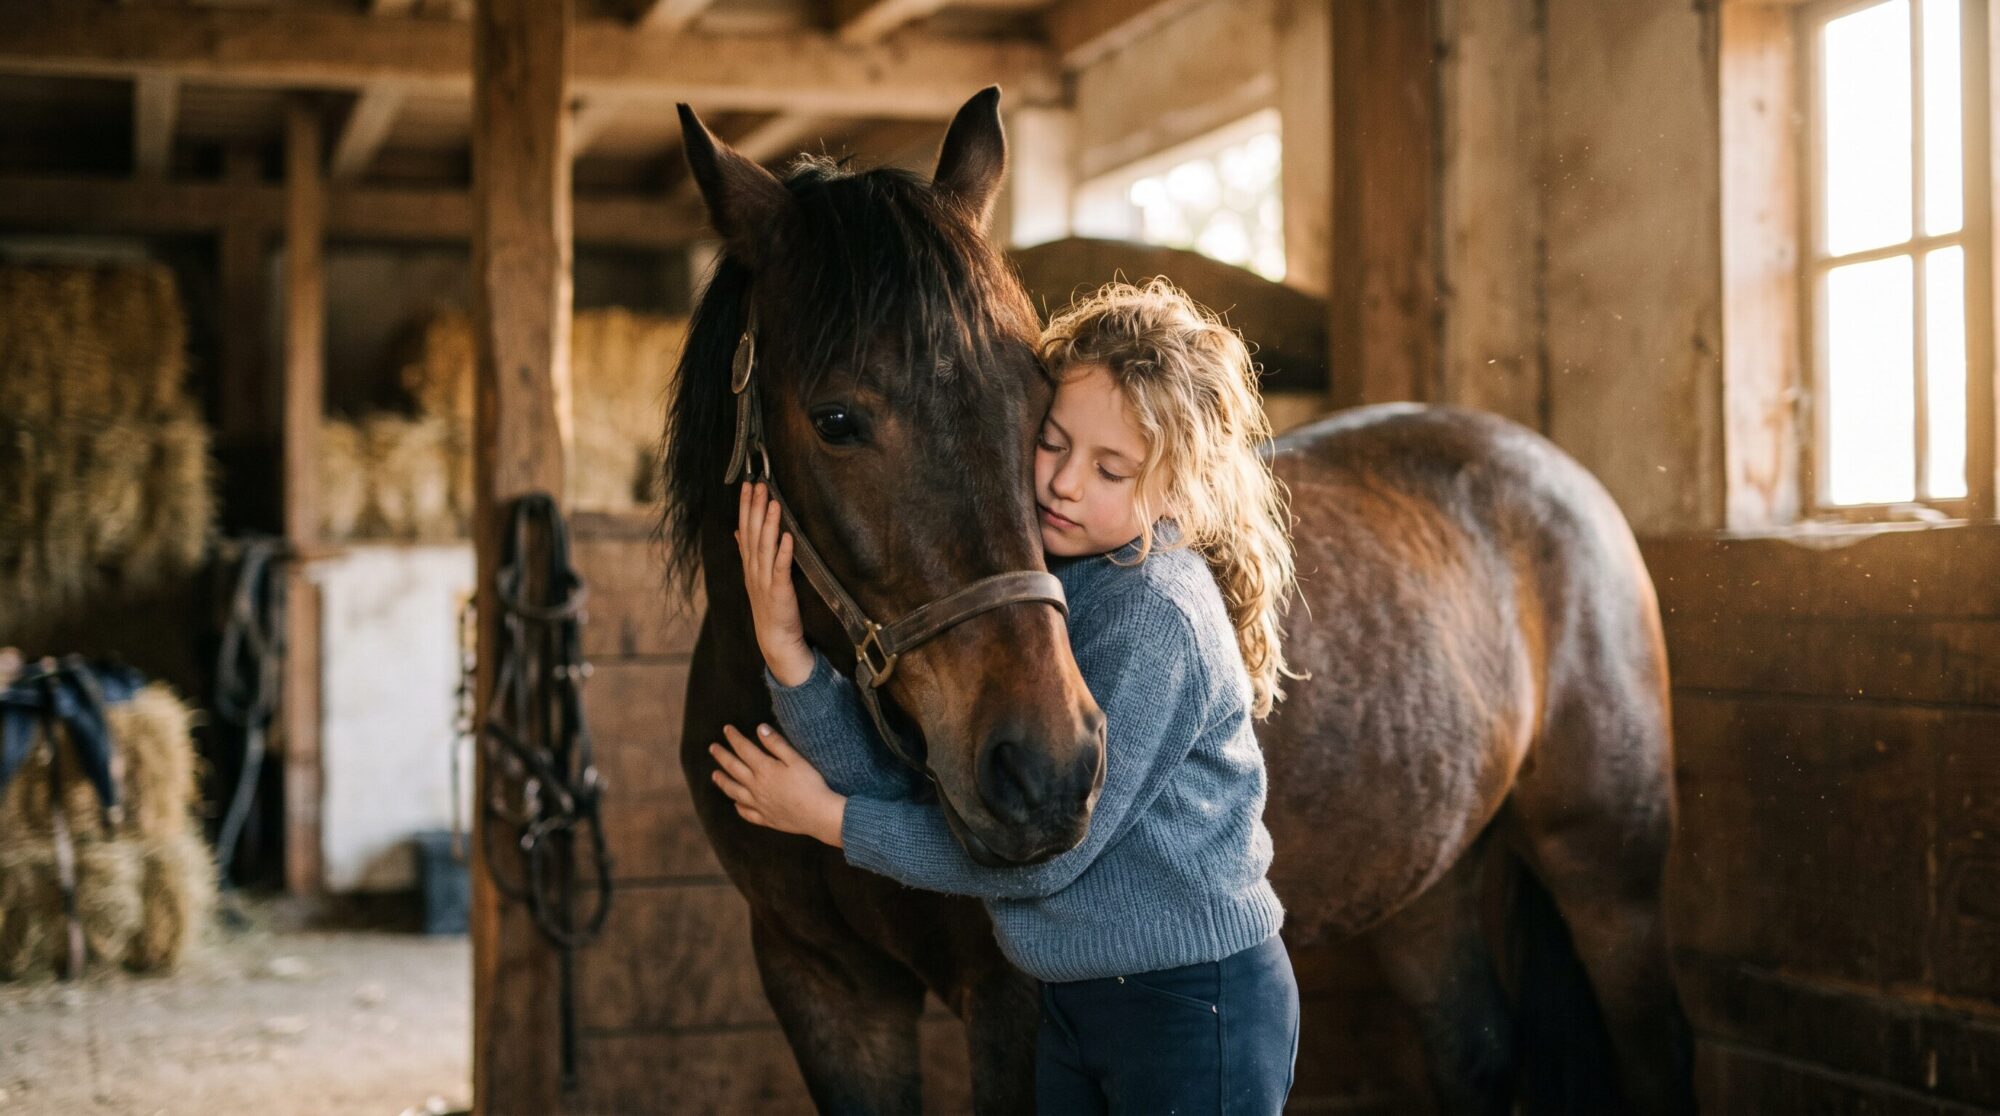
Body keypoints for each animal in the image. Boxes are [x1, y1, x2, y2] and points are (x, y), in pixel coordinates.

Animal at [661, 88, 1694, 1115]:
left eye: (1036, 399)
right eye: (835, 420)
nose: (1046, 769)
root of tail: (1555, 472)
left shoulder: (1011, 1004)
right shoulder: (825, 986)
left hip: (1612, 880)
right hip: (1428, 884)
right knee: (1475, 1052)